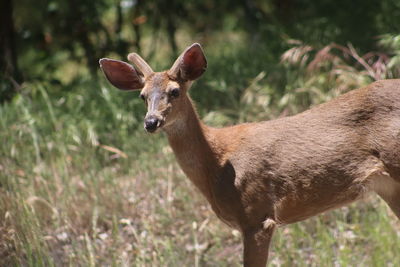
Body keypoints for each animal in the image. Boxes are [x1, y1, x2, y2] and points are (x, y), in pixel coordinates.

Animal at [99, 44, 400, 267]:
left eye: (174, 91)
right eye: (142, 96)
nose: (151, 122)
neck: (216, 164)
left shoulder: (257, 215)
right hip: (388, 186)